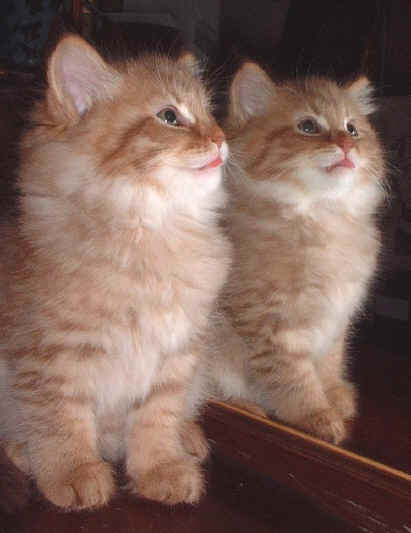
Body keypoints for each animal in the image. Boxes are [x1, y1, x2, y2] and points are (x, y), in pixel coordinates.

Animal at [0, 34, 231, 510]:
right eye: (169, 117)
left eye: (209, 113)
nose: (220, 138)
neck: (148, 231)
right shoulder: (52, 358)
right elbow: (60, 421)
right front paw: (71, 471)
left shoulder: (175, 357)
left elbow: (156, 422)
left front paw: (160, 468)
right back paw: (23, 453)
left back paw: (188, 437)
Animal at [208, 62, 386, 444]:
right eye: (308, 126)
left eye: (352, 128)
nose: (346, 144)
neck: (320, 215)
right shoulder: (273, 326)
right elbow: (294, 380)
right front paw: (317, 415)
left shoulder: (336, 318)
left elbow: (329, 365)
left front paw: (334, 395)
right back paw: (245, 406)